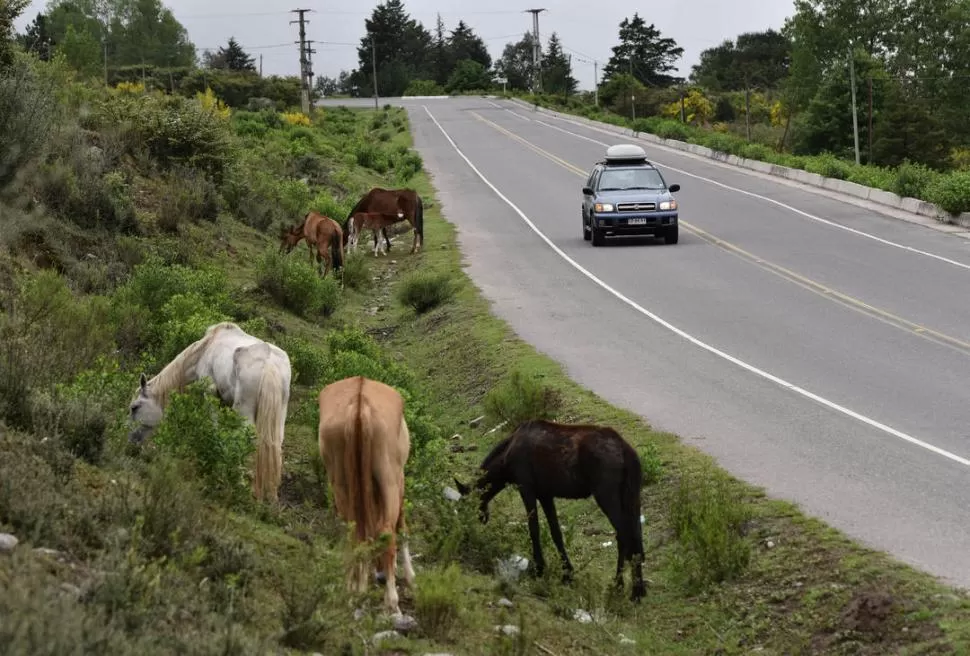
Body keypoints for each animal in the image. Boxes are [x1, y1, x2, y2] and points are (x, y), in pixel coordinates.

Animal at [127, 322, 292, 502]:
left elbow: (214, 425)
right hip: (279, 416)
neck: (205, 349)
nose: (131, 442)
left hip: (244, 411)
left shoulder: (210, 393)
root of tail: (269, 365)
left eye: (134, 407)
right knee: (276, 444)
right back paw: (270, 493)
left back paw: (239, 481)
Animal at [314, 374, 412, 616]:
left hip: (340, 481)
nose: (380, 576)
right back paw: (392, 602)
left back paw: (352, 591)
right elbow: (402, 525)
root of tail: (360, 403)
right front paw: (410, 576)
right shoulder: (401, 478)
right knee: (386, 531)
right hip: (389, 479)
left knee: (354, 532)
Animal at [452, 420, 644, 600]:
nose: (465, 534)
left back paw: (626, 588)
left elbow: (534, 528)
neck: (506, 457)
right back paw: (634, 589)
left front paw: (539, 568)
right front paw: (567, 573)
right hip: (631, 498)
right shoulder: (545, 494)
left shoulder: (526, 488)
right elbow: (555, 532)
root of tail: (625, 450)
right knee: (634, 538)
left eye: (463, 505)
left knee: (624, 536)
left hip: (606, 495)